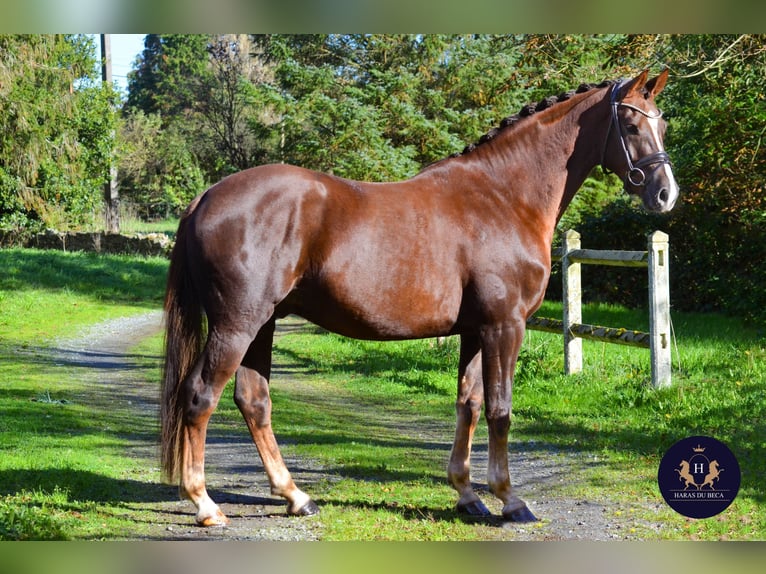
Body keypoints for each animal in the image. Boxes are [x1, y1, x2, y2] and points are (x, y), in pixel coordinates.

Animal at [160, 70, 680, 528]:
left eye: (662, 124)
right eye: (631, 125)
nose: (665, 194)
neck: (504, 196)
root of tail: (206, 197)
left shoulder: (475, 331)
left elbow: (470, 404)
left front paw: (468, 495)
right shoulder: (504, 325)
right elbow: (501, 409)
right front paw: (510, 500)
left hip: (262, 325)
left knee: (253, 401)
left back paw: (295, 496)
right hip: (237, 325)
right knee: (200, 396)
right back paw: (205, 504)